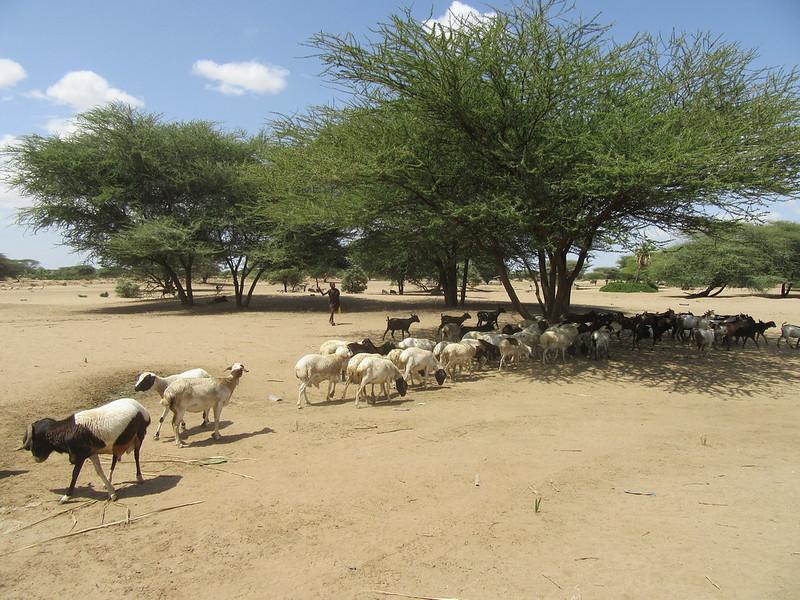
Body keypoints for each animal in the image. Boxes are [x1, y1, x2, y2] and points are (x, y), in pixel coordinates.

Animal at [19, 398, 150, 503]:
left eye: (35, 439)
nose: (36, 458)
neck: (66, 431)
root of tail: (142, 409)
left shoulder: (80, 456)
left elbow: (75, 474)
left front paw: (66, 497)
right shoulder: (92, 453)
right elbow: (99, 472)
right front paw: (112, 493)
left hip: (139, 435)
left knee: (136, 456)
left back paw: (139, 477)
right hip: (118, 443)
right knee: (114, 459)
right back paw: (109, 480)